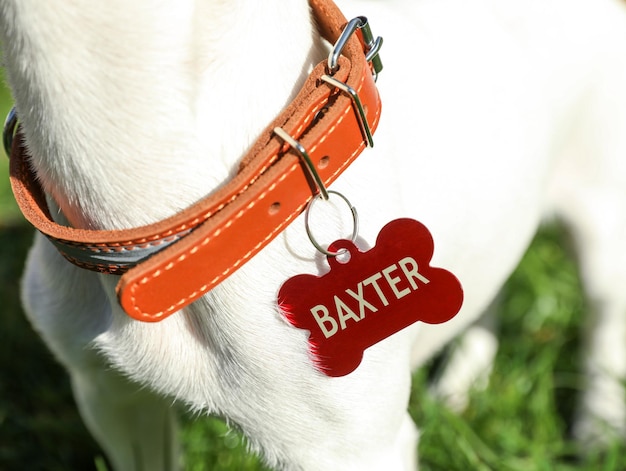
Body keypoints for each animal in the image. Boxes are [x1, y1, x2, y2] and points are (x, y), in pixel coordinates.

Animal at [1, 0, 624, 470]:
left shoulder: (351, 450)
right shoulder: (111, 397)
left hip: (602, 226)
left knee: (604, 328)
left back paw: (598, 433)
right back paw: (462, 385)